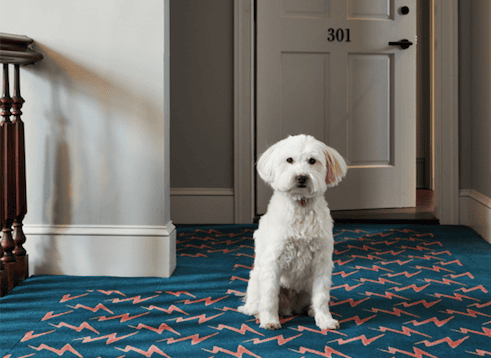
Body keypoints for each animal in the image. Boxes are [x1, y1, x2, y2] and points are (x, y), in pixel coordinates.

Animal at [237, 134, 346, 330]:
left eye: (312, 161)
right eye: (289, 160)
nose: (301, 177)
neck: (301, 204)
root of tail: (290, 307)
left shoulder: (322, 261)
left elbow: (321, 297)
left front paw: (325, 320)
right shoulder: (273, 261)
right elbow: (270, 297)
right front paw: (270, 320)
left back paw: (311, 310)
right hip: (257, 279)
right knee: (255, 303)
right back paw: (256, 312)